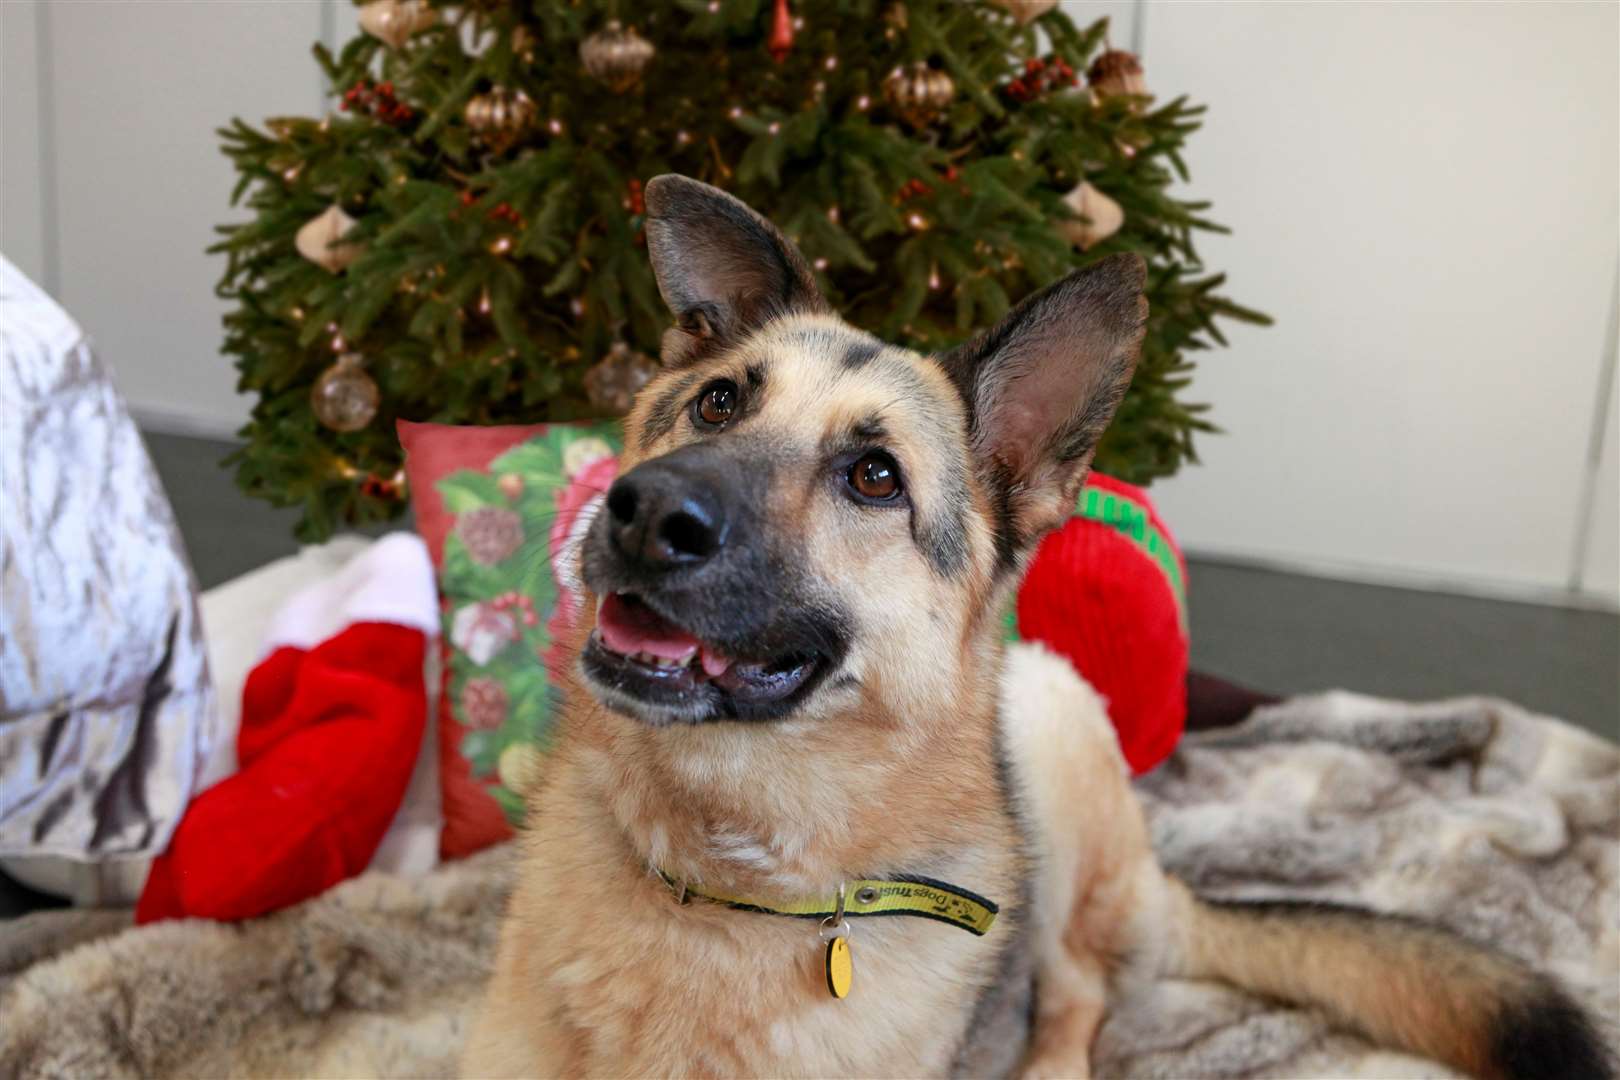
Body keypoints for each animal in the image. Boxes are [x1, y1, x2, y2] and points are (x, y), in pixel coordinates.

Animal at [466, 173, 1607, 1075]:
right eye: (716, 403)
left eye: (873, 477)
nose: (643, 514)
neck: (723, 878)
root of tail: (1156, 883)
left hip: (1051, 764)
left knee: (1080, 994)